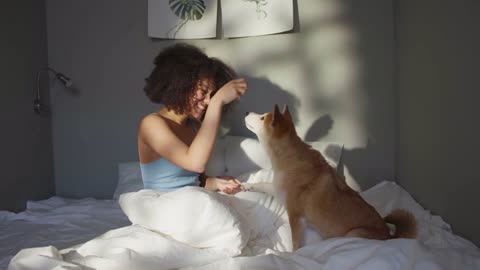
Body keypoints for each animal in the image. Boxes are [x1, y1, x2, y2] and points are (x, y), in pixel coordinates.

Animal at [244, 104, 416, 251]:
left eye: (262, 118)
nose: (246, 112)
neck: (288, 157)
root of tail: (389, 235)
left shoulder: (295, 215)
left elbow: (296, 245)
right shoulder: (278, 190)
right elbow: (262, 184)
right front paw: (246, 186)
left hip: (352, 235)